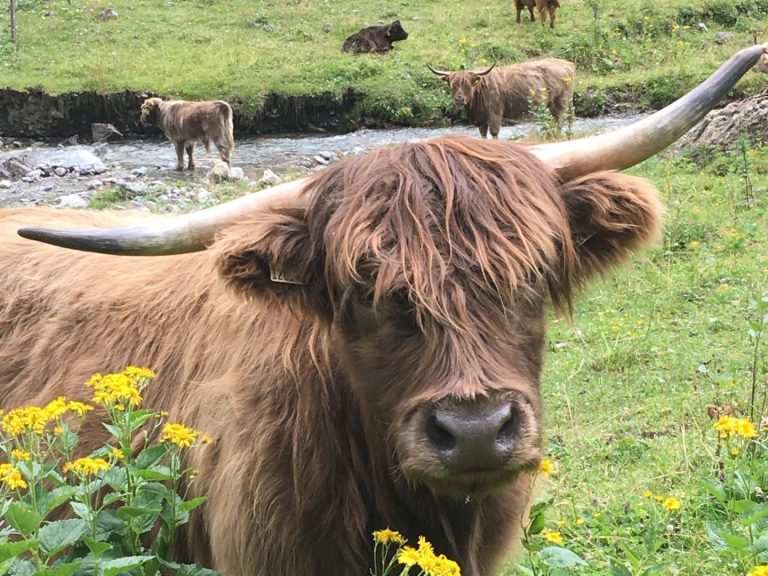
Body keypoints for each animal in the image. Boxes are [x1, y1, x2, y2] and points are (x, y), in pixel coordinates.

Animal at [429, 58, 576, 139]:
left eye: (468, 84)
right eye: (453, 85)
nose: (459, 99)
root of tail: (567, 63)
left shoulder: (495, 112)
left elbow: (494, 132)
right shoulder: (480, 118)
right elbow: (482, 134)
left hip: (560, 102)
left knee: (559, 121)